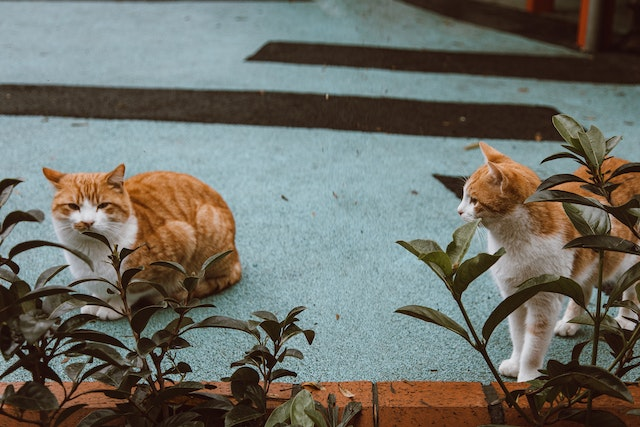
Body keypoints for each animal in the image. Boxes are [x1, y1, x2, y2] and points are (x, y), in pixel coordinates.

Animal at [43, 164, 242, 320]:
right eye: (73, 206)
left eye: (103, 205)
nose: (87, 222)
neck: (92, 250)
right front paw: (96, 302)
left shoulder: (181, 241)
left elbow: (133, 290)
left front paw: (115, 306)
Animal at [458, 143, 640, 382]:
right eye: (463, 196)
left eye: (474, 201)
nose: (459, 211)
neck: (514, 241)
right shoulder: (512, 299)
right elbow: (519, 337)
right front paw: (515, 364)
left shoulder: (544, 303)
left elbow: (533, 347)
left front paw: (527, 377)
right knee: (585, 291)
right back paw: (570, 322)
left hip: (629, 262)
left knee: (631, 291)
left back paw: (626, 320)